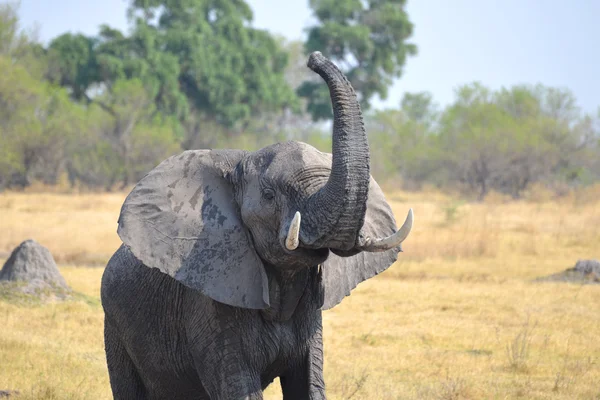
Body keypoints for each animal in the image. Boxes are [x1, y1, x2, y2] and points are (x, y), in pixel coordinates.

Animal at [102, 51, 412, 398]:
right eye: (268, 195)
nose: (314, 57)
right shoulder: (212, 297)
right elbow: (238, 386)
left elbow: (309, 383)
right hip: (115, 328)